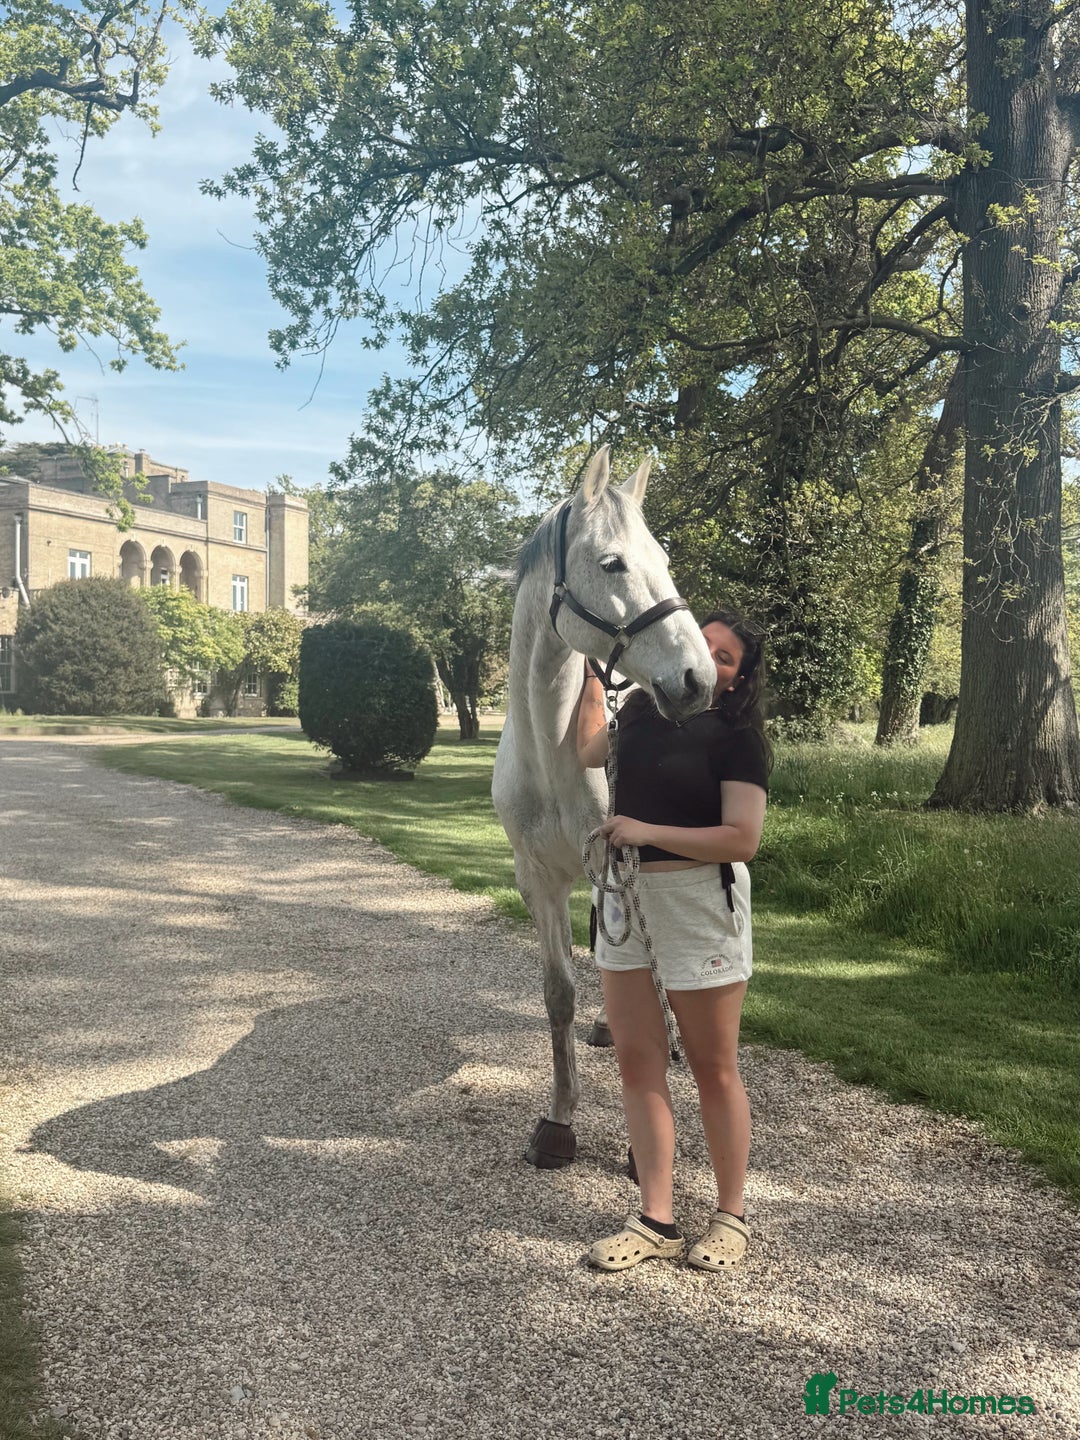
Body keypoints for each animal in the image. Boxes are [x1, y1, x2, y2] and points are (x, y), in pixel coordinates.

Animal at [491, 446, 716, 1168]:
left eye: (664, 558)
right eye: (613, 562)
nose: (698, 679)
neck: (552, 747)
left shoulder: (619, 864)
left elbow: (640, 992)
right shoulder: (537, 879)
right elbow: (558, 991)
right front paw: (559, 1121)